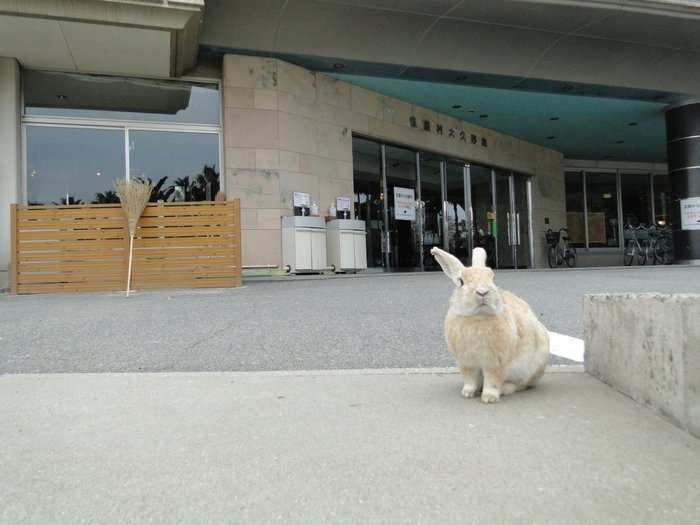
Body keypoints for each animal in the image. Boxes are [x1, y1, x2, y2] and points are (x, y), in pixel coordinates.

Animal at [430, 246, 548, 402]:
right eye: (461, 281)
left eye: (492, 278)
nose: (482, 292)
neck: (478, 317)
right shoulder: (466, 362)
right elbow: (469, 379)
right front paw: (467, 393)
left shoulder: (495, 363)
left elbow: (493, 379)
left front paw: (489, 398)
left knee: (520, 385)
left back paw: (505, 389)